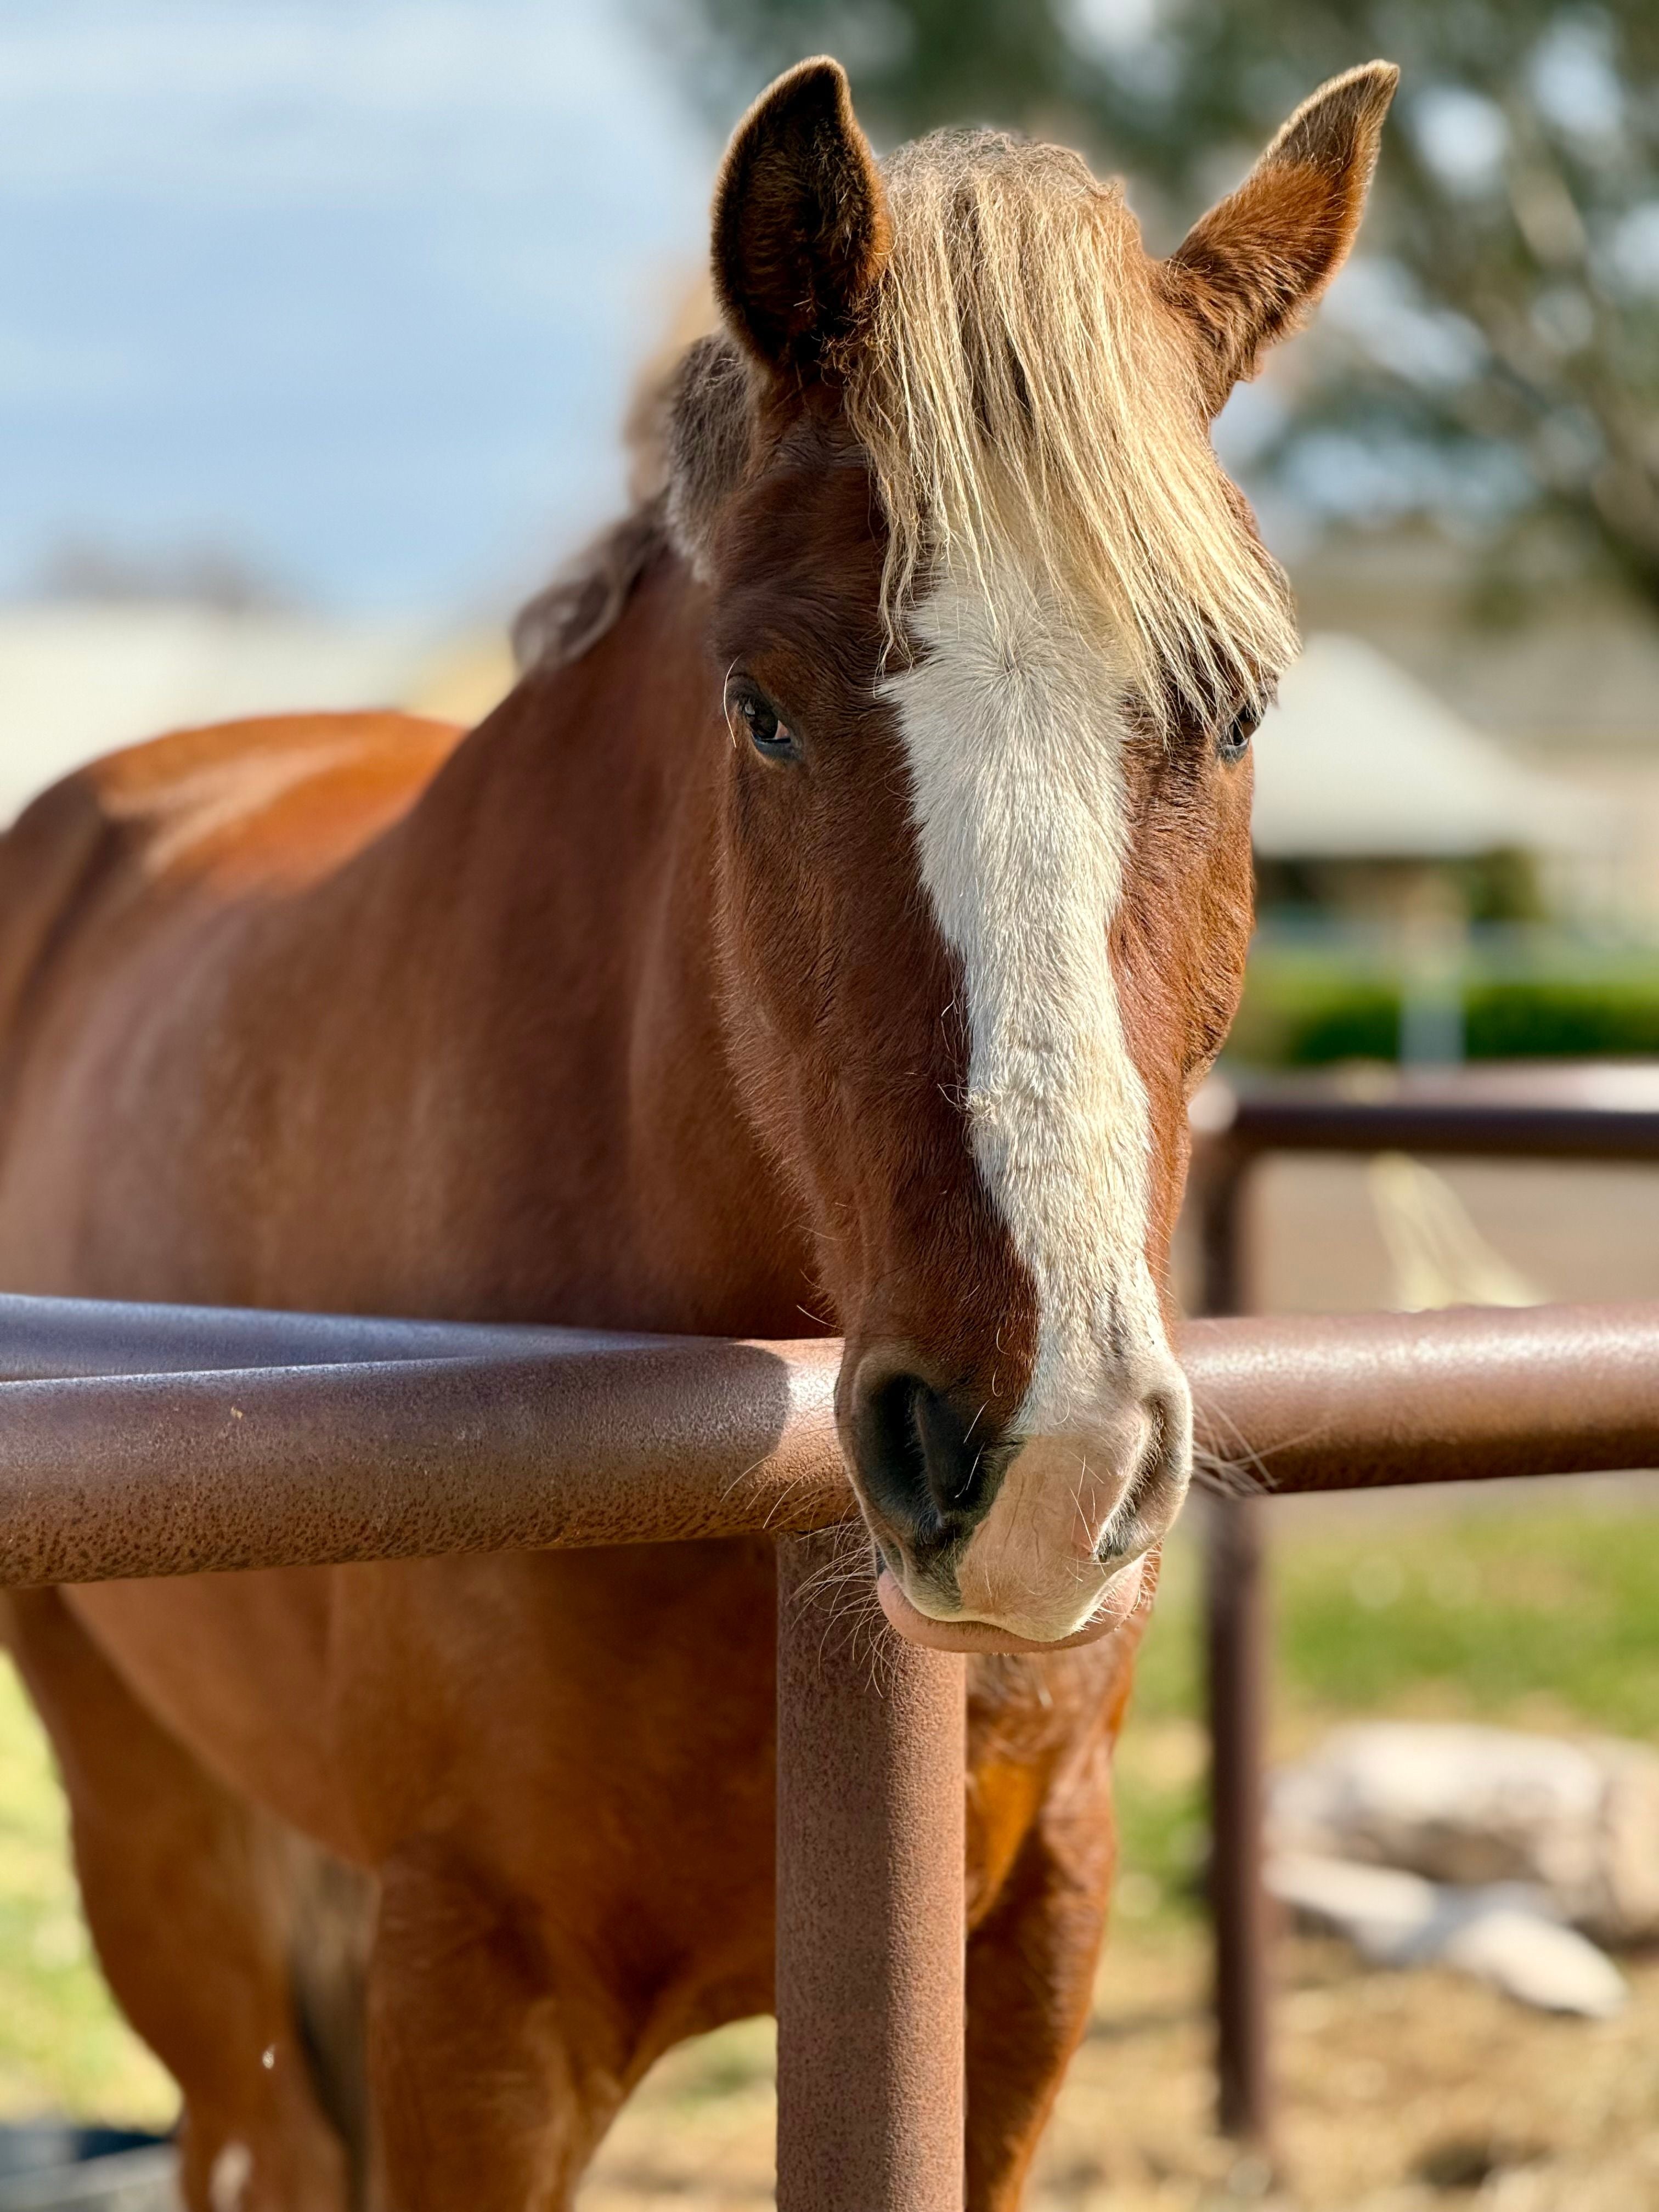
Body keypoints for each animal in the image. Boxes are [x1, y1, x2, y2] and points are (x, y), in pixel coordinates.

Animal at [0, 54, 1394, 2211]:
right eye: (763, 708)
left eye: (1234, 710)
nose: (1045, 1456)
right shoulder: (475, 2011)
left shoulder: (1025, 1962)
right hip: (166, 1860)